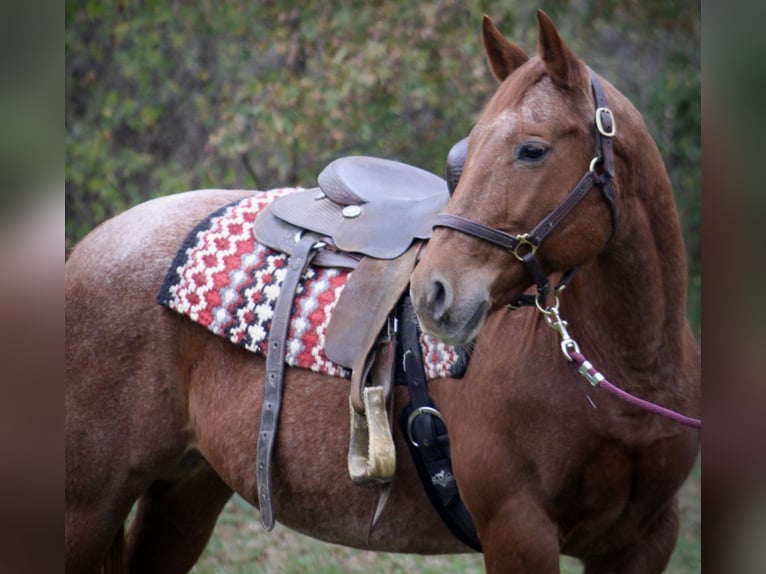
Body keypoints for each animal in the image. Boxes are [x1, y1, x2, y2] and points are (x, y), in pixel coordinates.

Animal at [66, 10, 704, 574]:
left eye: (532, 149)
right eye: (464, 154)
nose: (434, 292)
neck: (629, 368)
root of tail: (91, 246)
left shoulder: (645, 541)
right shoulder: (518, 532)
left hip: (186, 489)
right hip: (89, 504)